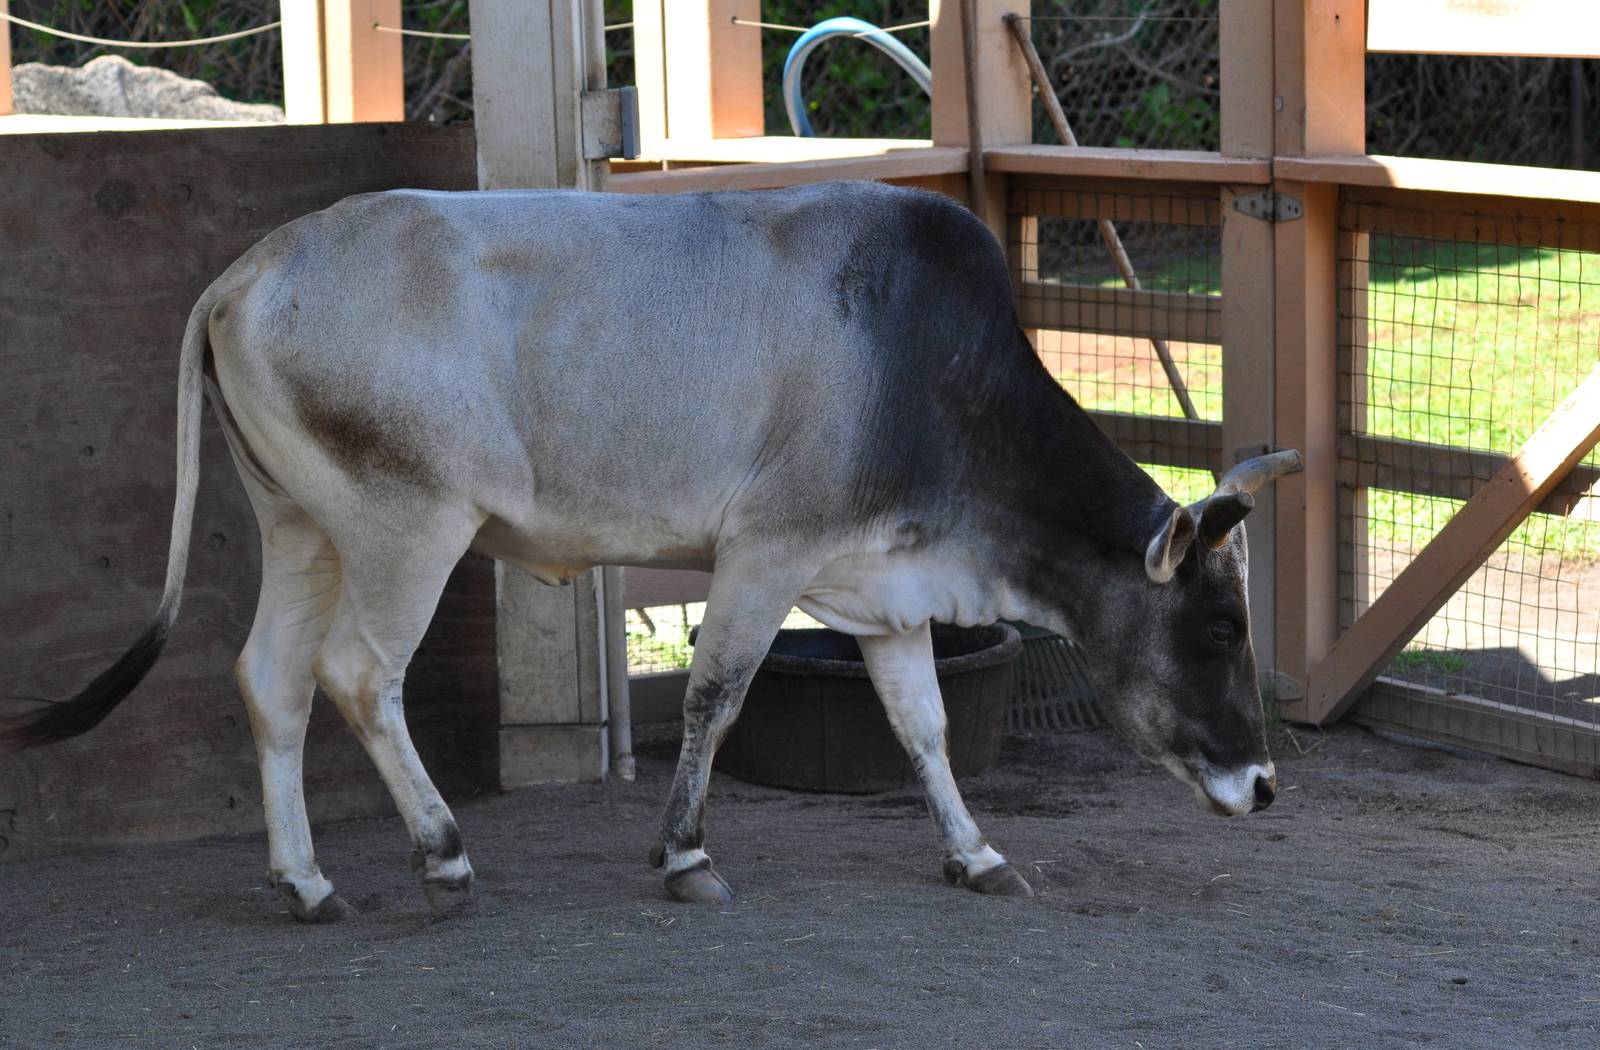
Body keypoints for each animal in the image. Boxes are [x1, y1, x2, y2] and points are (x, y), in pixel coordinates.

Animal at [3, 181, 1300, 919]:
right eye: (1219, 627)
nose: (1263, 783)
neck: (934, 372)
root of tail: (246, 270)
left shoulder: (882, 589)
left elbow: (924, 727)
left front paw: (975, 855)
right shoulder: (768, 553)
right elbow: (716, 696)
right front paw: (683, 856)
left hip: (301, 527)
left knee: (270, 680)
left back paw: (308, 881)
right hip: (407, 529)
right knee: (358, 678)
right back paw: (442, 857)